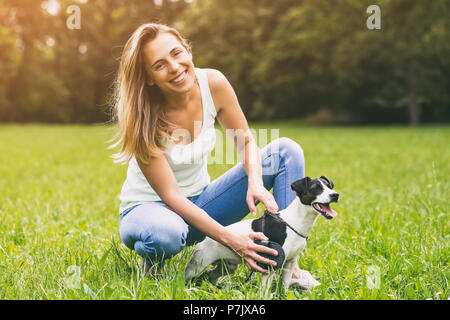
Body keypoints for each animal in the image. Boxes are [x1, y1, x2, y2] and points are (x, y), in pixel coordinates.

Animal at [185, 176, 340, 294]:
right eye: (316, 188)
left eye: (329, 187)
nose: (335, 195)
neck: (294, 222)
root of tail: (204, 240)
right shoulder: (270, 264)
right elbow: (265, 290)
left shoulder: (290, 262)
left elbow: (285, 284)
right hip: (197, 265)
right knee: (185, 276)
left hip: (228, 267)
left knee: (212, 274)